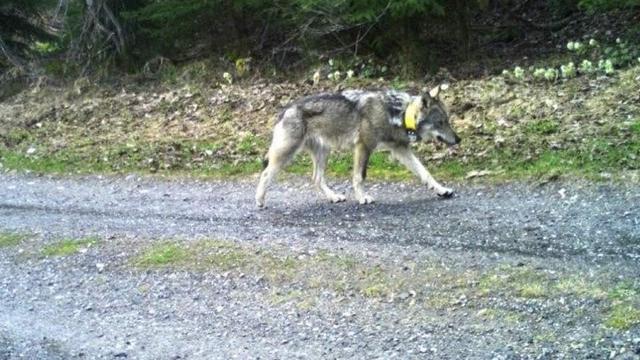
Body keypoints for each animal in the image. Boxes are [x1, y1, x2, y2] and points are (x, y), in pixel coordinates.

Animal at [255, 85, 460, 208]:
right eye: (441, 122)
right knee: (265, 174)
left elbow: (425, 172)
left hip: (323, 153)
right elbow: (359, 177)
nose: (458, 140)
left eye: (447, 121)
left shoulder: (401, 149)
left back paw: (333, 197)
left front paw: (441, 190)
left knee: (316, 179)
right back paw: (260, 200)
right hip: (287, 154)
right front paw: (362, 198)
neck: (397, 113)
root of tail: (285, 109)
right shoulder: (364, 146)